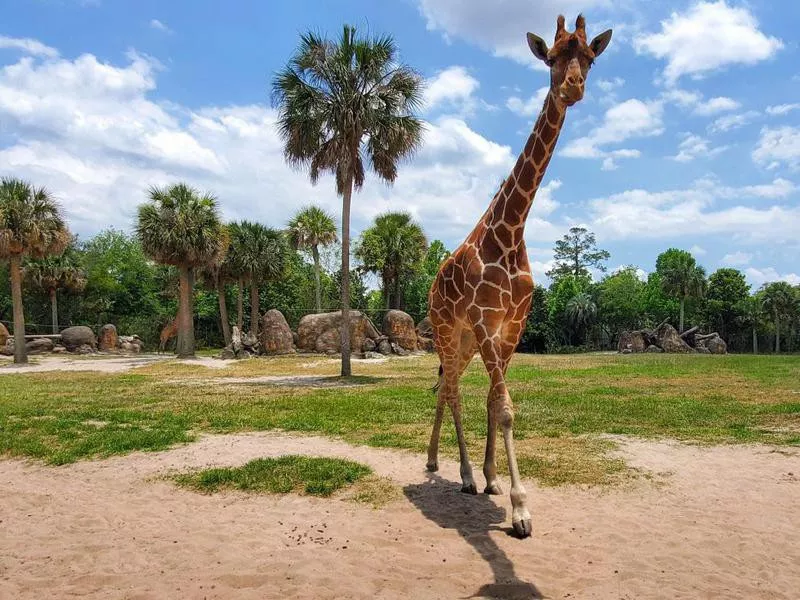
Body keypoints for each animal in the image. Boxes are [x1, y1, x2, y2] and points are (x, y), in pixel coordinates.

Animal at [424, 15, 612, 540]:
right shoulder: (488, 321)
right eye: (551, 58)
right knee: (452, 390)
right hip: (448, 330)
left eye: (590, 57)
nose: (573, 87)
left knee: (447, 387)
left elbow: (496, 402)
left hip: (464, 341)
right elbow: (504, 407)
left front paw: (495, 482)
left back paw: (436, 463)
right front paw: (520, 508)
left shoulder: (511, 327)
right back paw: (461, 474)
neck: (511, 231)